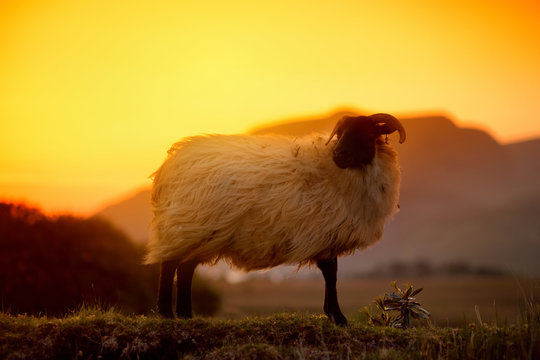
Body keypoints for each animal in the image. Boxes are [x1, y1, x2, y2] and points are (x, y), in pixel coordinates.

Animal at [146, 113, 408, 326]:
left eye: (366, 132)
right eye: (341, 132)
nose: (338, 154)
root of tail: (168, 167)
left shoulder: (327, 234)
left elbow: (330, 274)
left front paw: (333, 314)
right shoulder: (326, 231)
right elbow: (331, 274)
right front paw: (337, 317)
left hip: (201, 232)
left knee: (185, 267)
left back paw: (185, 315)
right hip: (186, 225)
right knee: (169, 264)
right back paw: (167, 313)